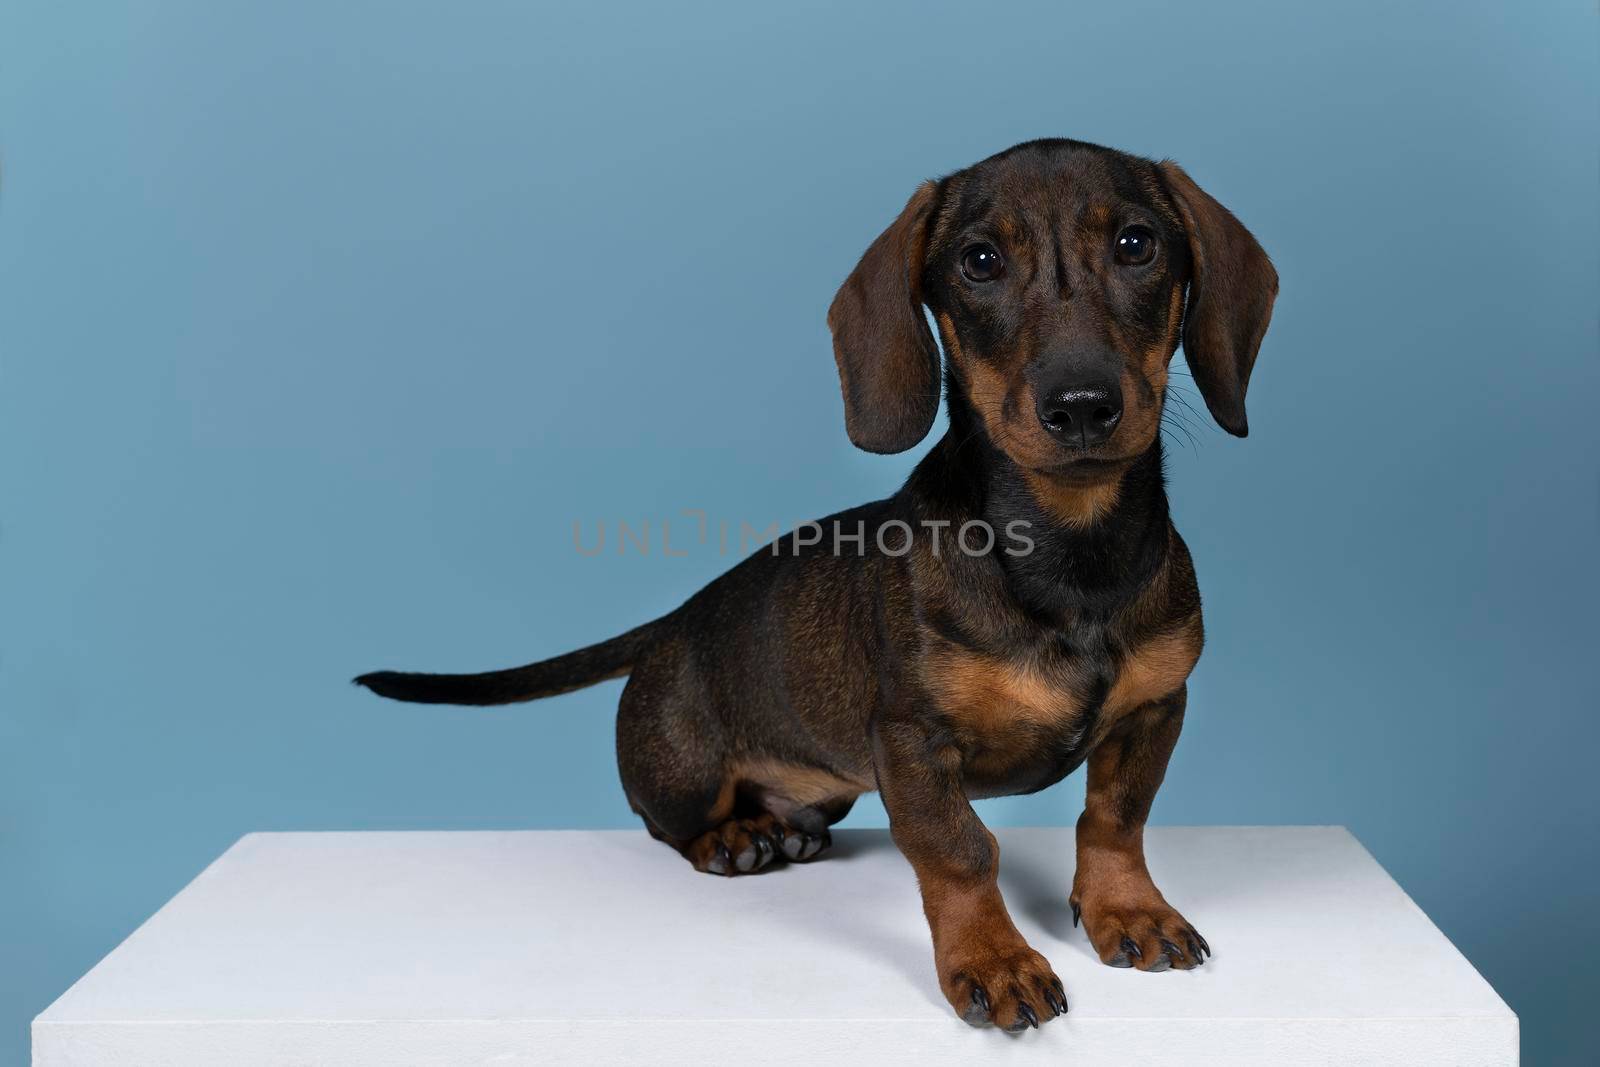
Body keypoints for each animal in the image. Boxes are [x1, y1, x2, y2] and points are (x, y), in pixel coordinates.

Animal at [360, 139, 1273, 1036]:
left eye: (1136, 243)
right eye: (979, 261)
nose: (1081, 404)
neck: (1070, 552)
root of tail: (672, 621)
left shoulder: (1157, 706)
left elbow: (1115, 818)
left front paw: (1129, 910)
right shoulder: (910, 740)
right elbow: (962, 849)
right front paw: (994, 957)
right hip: (681, 769)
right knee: (665, 824)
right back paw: (735, 838)